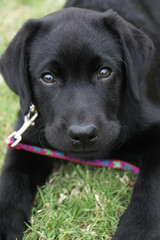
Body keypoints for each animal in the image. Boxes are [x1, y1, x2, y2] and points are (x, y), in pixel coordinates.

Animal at [0, 0, 160, 239]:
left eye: (104, 72)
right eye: (48, 77)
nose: (83, 134)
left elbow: (152, 181)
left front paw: (138, 228)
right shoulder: (25, 140)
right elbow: (11, 178)